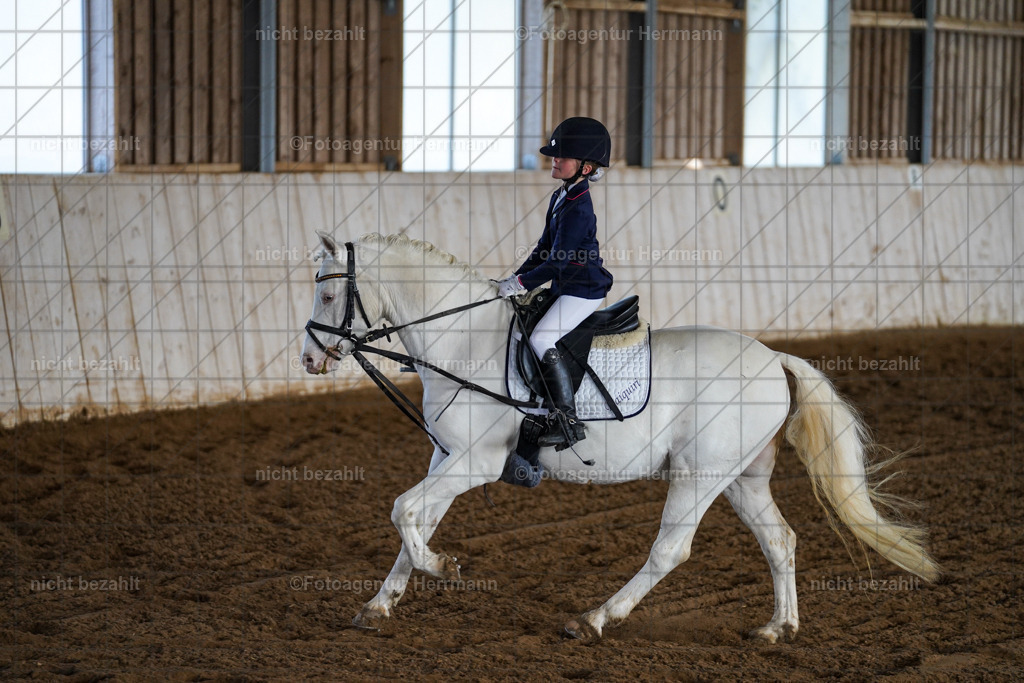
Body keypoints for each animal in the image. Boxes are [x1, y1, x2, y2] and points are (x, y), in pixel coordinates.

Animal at [300, 231, 939, 642]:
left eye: (329, 295)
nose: (309, 359)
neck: (461, 338)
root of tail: (771, 357)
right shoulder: (446, 457)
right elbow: (416, 518)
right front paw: (380, 605)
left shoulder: (475, 462)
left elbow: (402, 510)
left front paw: (444, 569)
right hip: (740, 477)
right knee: (779, 540)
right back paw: (777, 628)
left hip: (699, 476)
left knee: (671, 549)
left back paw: (593, 620)